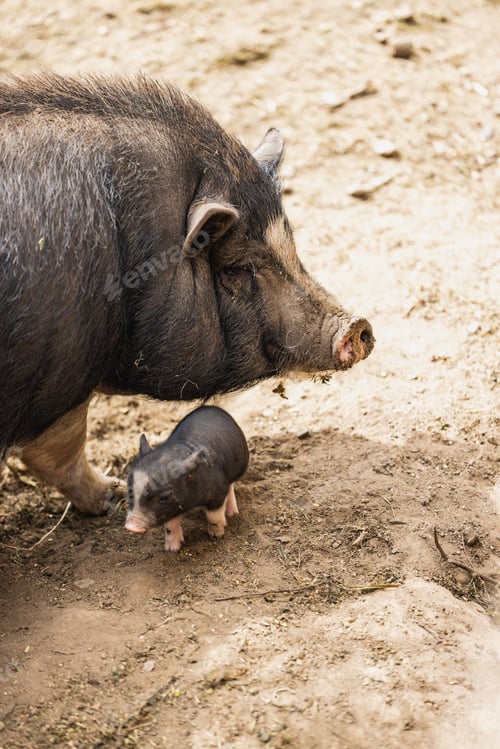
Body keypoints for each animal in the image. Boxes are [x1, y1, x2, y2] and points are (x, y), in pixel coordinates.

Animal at [0, 73, 374, 514]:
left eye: (291, 245)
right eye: (237, 266)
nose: (357, 327)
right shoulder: (66, 365)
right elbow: (58, 448)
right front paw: (113, 494)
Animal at [125, 405, 249, 551]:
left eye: (164, 497)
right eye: (129, 490)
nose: (131, 527)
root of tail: (212, 407)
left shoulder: (218, 492)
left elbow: (213, 516)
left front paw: (217, 536)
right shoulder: (171, 508)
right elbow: (170, 526)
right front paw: (172, 549)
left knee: (231, 487)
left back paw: (233, 514)